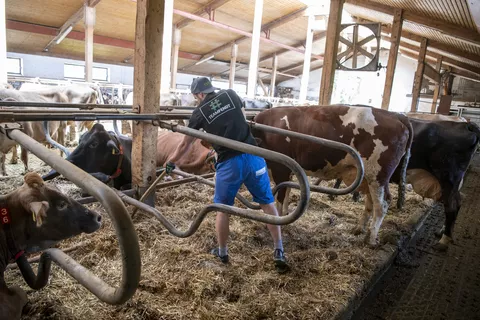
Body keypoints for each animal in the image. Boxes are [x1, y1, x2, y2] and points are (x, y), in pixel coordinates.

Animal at [253, 105, 414, 245]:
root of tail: (396, 115)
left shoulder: (281, 169)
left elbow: (280, 199)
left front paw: (276, 224)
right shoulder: (289, 170)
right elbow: (286, 193)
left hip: (378, 175)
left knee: (382, 204)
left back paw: (372, 239)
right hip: (368, 177)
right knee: (370, 203)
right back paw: (360, 229)